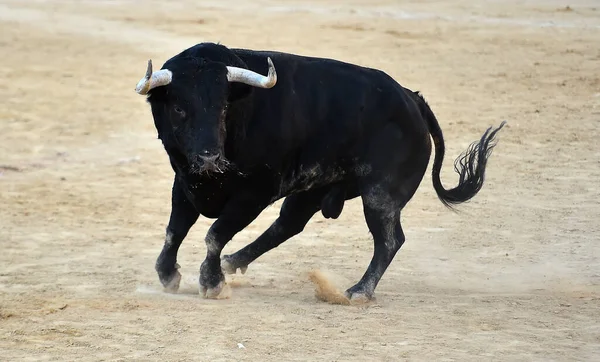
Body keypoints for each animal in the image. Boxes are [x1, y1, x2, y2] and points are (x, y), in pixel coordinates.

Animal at [136, 42, 506, 302]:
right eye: (178, 108)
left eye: (224, 107)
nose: (210, 158)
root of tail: (411, 99)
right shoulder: (185, 181)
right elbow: (175, 230)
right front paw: (168, 275)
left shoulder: (254, 193)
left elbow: (214, 234)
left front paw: (211, 282)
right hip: (313, 189)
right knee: (289, 225)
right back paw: (234, 260)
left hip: (380, 195)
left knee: (389, 239)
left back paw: (358, 291)